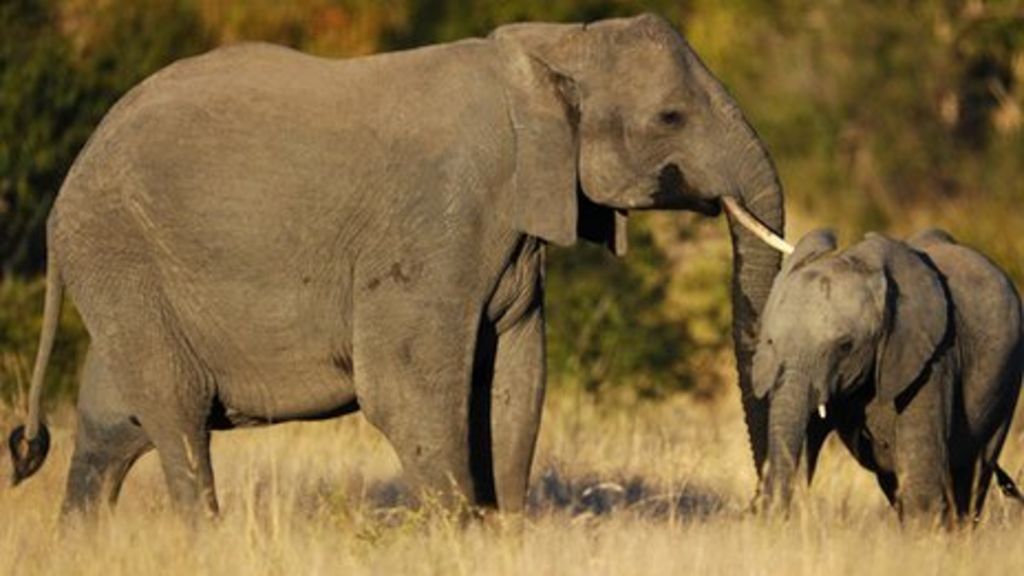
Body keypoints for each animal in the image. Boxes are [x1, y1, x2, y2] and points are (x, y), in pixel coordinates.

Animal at [8, 13, 788, 520]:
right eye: (671, 118)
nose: (761, 507)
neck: (553, 45)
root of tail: (68, 184)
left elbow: (515, 378)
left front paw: (503, 532)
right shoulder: (436, 218)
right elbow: (408, 385)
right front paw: (455, 534)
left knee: (115, 420)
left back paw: (85, 544)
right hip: (119, 250)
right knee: (175, 413)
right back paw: (202, 538)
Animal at [752, 228, 1024, 522]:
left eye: (845, 346)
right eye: (771, 342)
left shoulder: (932, 356)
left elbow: (921, 474)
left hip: (1007, 383)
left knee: (974, 471)